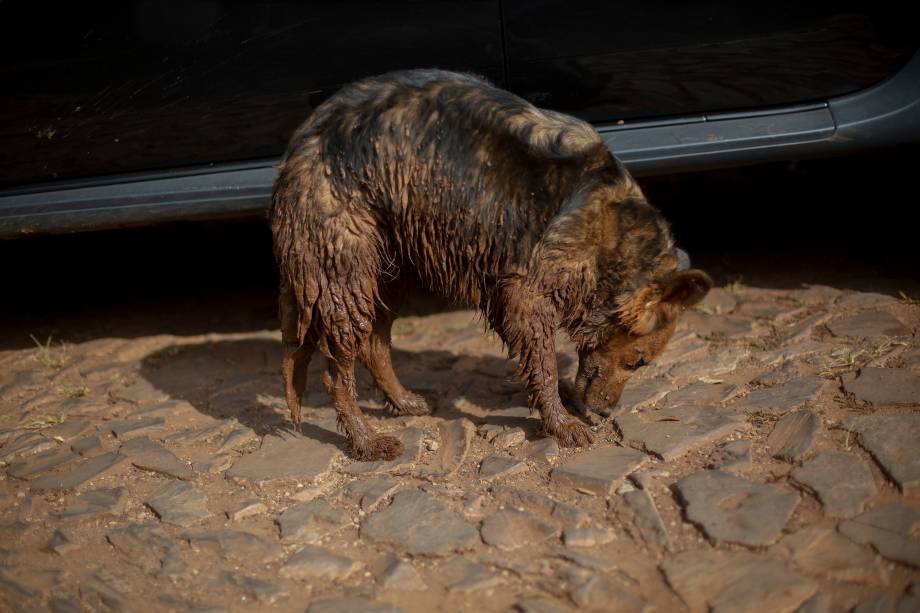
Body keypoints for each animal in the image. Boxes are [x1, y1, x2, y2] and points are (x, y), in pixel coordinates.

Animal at [270, 68, 716, 460]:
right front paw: (561, 424)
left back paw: (402, 401)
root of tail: (301, 141)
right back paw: (366, 441)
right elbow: (545, 365)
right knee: (335, 372)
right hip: (343, 273)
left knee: (375, 344)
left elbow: (541, 365)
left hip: (390, 269)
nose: (607, 413)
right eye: (638, 362)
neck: (611, 232)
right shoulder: (527, 295)